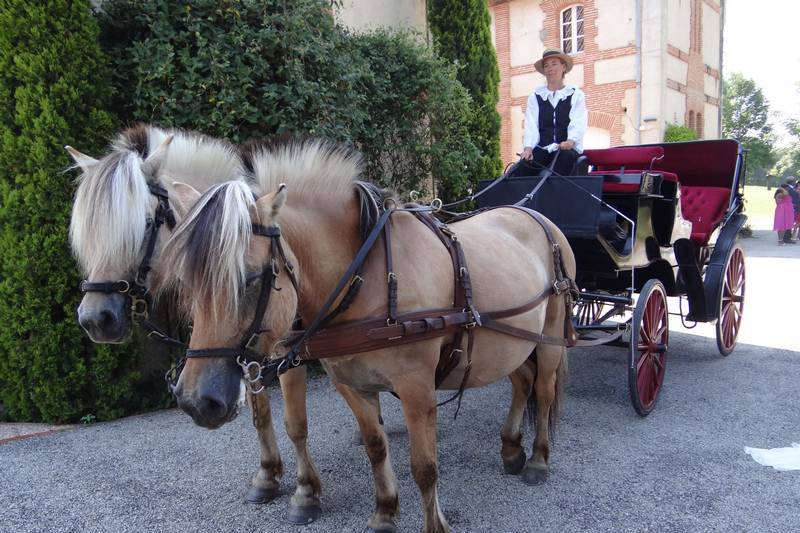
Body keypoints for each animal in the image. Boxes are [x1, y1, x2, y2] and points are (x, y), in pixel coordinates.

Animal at [67, 122, 318, 512]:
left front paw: (306, 494)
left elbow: (296, 422)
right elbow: (261, 415)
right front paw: (267, 476)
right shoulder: (247, 353)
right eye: (90, 233)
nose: (95, 319)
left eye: (145, 223)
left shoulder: (284, 352)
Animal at [167, 138, 576, 532]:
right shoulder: (350, 382)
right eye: (186, 283)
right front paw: (384, 511)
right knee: (523, 381)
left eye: (251, 279)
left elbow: (424, 467)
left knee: (543, 389)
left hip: (550, 335)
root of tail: (533, 214)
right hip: (510, 343)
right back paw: (511, 449)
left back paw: (538, 460)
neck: (369, 278)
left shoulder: (416, 387)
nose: (195, 401)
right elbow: (375, 446)